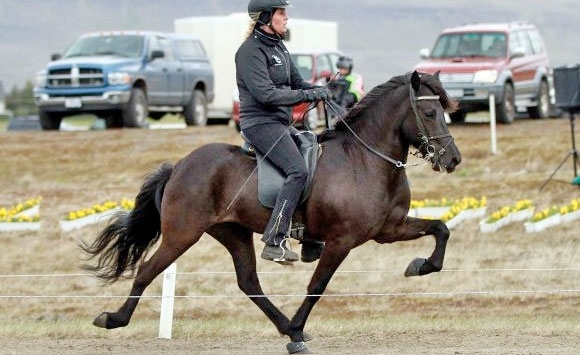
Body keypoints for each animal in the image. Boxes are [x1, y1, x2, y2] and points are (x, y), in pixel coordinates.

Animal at [80, 71, 462, 354]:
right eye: (430, 113)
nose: (453, 159)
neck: (365, 159)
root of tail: (179, 166)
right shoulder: (342, 241)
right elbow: (317, 285)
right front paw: (299, 327)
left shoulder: (389, 229)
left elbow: (441, 228)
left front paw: (421, 266)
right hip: (183, 233)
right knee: (147, 270)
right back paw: (113, 318)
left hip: (232, 232)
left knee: (248, 282)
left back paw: (286, 329)